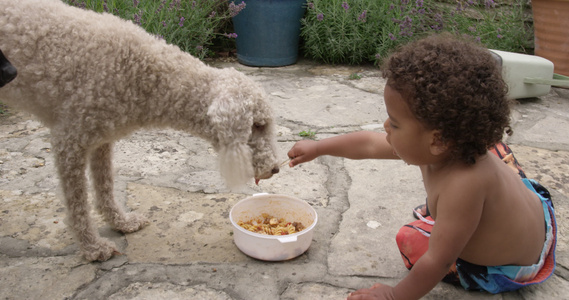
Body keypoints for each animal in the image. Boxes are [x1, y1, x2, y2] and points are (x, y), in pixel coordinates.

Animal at [0, 0, 280, 262]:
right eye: (257, 125)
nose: (276, 169)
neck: (139, 73)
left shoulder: (100, 138)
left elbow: (105, 184)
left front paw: (120, 222)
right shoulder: (68, 140)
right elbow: (77, 202)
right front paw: (92, 247)